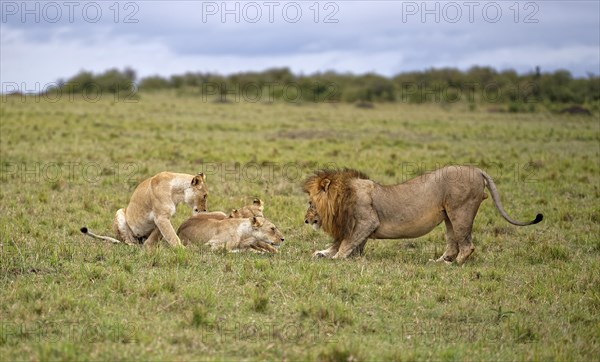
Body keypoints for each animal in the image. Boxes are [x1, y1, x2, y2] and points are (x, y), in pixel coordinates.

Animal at [304, 166, 544, 264]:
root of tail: (477, 170)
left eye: (310, 203)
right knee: (453, 245)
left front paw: (336, 258)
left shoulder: (367, 221)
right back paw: (438, 261)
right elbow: (345, 242)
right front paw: (322, 253)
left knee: (467, 245)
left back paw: (452, 265)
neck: (343, 195)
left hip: (461, 211)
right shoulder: (355, 226)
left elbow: (346, 243)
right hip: (449, 216)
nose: (305, 220)